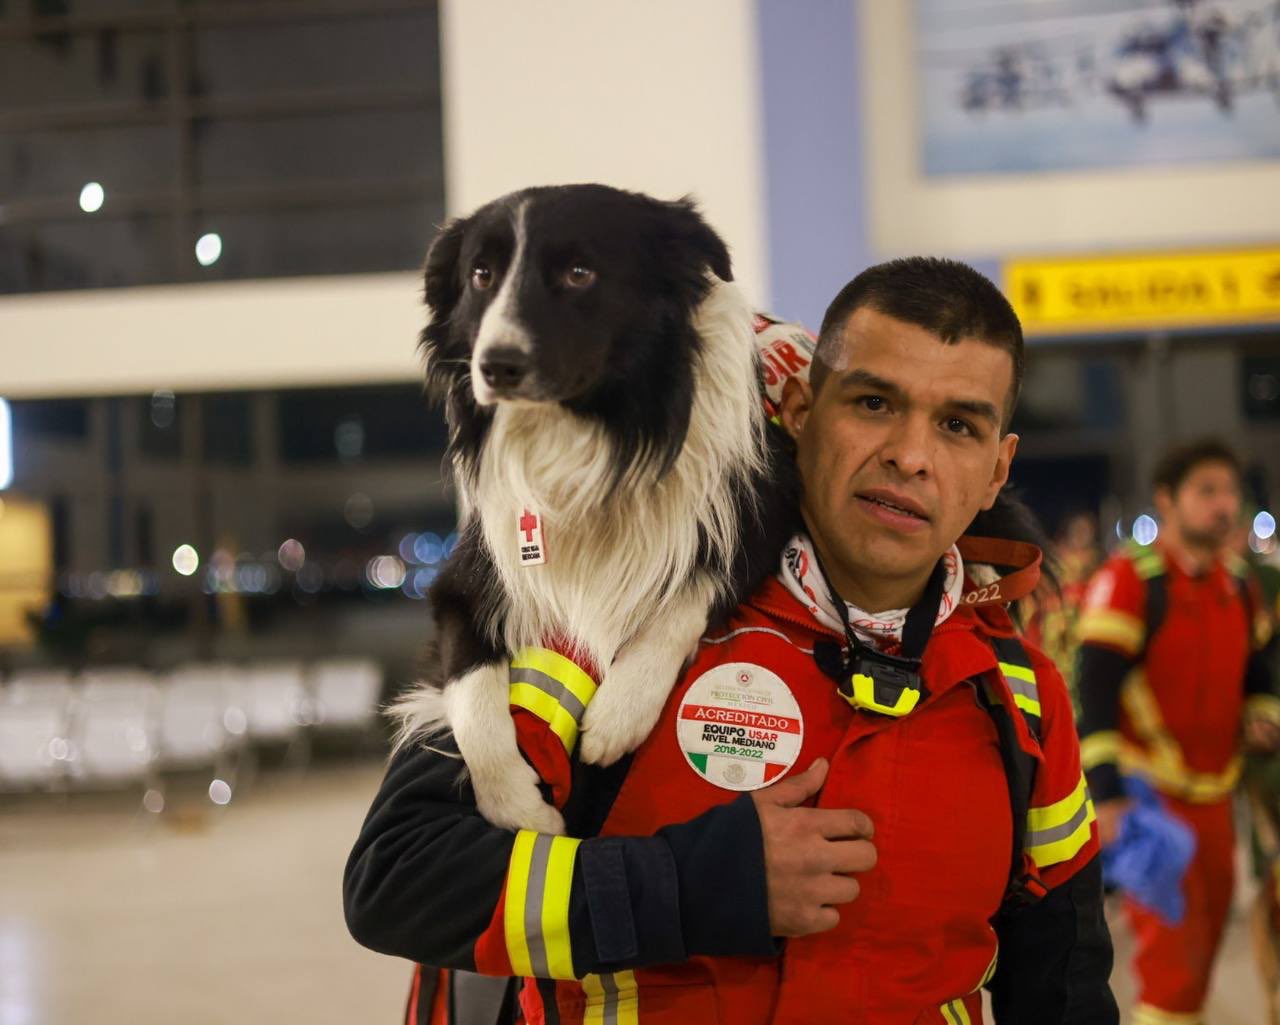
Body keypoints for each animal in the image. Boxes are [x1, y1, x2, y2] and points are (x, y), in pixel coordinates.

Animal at [394, 184, 793, 829]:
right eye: (481, 274)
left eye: (580, 273)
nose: (495, 365)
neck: (590, 438)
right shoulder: (464, 579)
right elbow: (472, 693)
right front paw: (520, 811)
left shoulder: (763, 510)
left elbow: (689, 593)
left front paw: (620, 713)